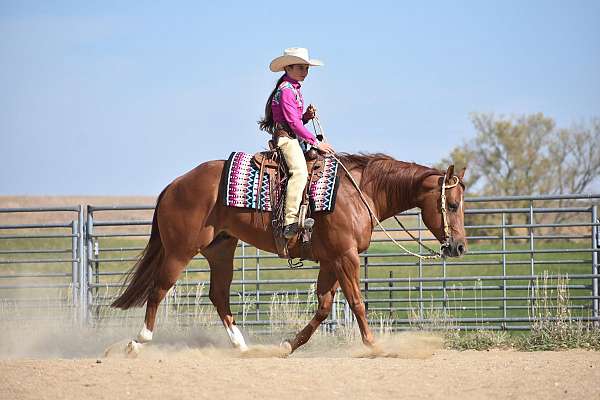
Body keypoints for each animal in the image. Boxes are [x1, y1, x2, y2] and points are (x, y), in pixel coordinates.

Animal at [112, 152, 468, 354]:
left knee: (218, 295)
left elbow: (324, 308)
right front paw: (374, 345)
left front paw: (288, 344)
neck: (360, 192)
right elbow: (356, 302)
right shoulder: (346, 257)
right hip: (180, 250)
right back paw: (138, 342)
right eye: (452, 205)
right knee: (158, 290)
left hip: (221, 249)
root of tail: (175, 184)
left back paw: (241, 346)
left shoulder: (331, 260)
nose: (460, 246)